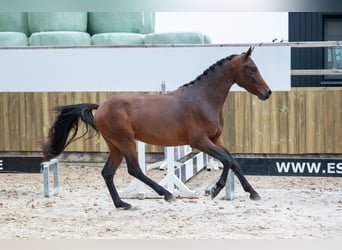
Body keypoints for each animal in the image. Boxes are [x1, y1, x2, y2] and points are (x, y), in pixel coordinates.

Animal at [42, 47, 272, 209]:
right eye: (252, 69)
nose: (267, 92)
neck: (203, 99)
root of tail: (101, 107)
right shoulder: (199, 141)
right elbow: (226, 160)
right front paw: (215, 190)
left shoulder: (216, 139)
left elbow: (234, 162)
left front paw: (253, 193)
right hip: (126, 141)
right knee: (134, 169)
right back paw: (166, 194)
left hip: (116, 146)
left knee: (107, 172)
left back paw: (122, 204)